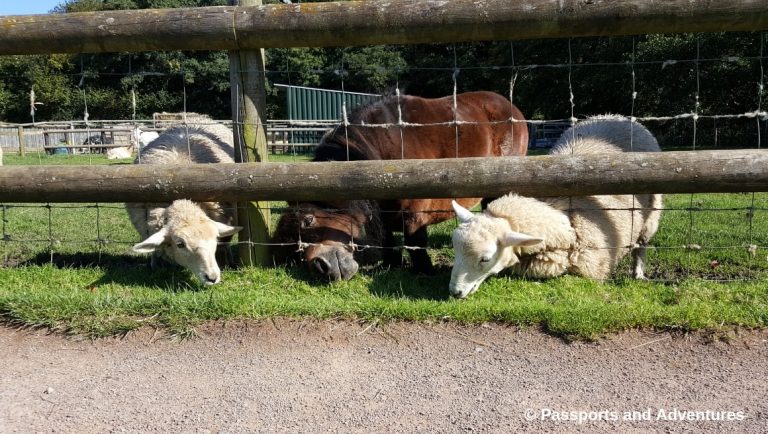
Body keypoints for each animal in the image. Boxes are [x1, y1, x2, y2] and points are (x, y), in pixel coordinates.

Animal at [272, 91, 528, 282]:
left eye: (308, 220)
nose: (320, 268)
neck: (376, 152)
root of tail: (510, 106)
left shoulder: (415, 213)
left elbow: (416, 241)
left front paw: (424, 271)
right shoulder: (384, 211)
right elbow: (388, 240)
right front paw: (390, 265)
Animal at [450, 115, 660, 298]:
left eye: (485, 258)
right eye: (455, 250)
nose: (454, 292)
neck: (570, 231)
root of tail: (615, 116)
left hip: (651, 217)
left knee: (641, 245)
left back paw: (638, 274)